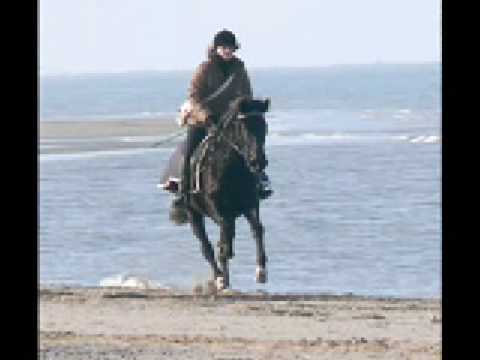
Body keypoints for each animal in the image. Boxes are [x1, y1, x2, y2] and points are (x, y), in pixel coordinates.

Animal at [169, 97, 270, 292]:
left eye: (264, 126)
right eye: (243, 127)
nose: (258, 162)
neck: (231, 169)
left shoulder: (250, 204)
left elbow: (257, 229)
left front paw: (261, 271)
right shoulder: (218, 210)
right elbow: (224, 239)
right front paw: (223, 276)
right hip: (193, 215)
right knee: (205, 246)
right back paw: (219, 278)